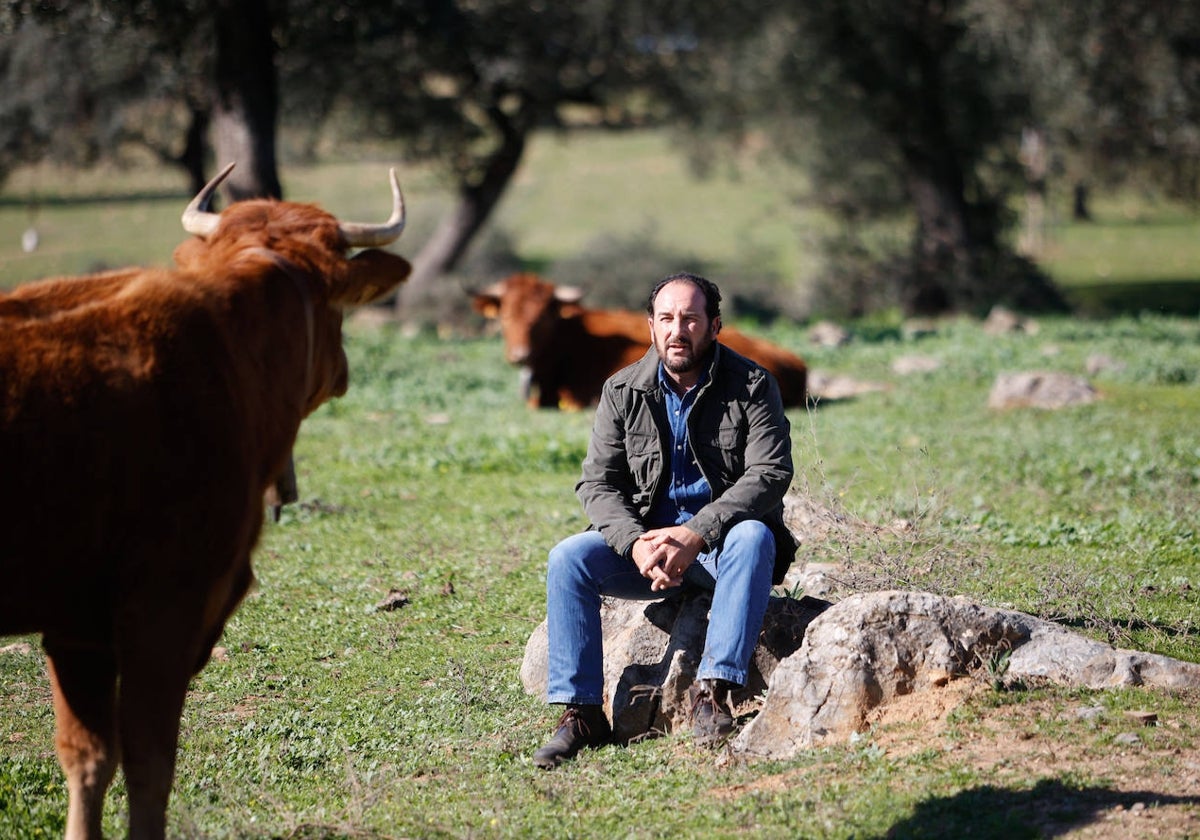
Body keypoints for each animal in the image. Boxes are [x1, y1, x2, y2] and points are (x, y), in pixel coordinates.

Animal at [0, 164, 410, 840]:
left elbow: (87, 757)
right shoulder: (168, 604)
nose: (345, 368)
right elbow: (148, 763)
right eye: (338, 313)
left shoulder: (76, 625)